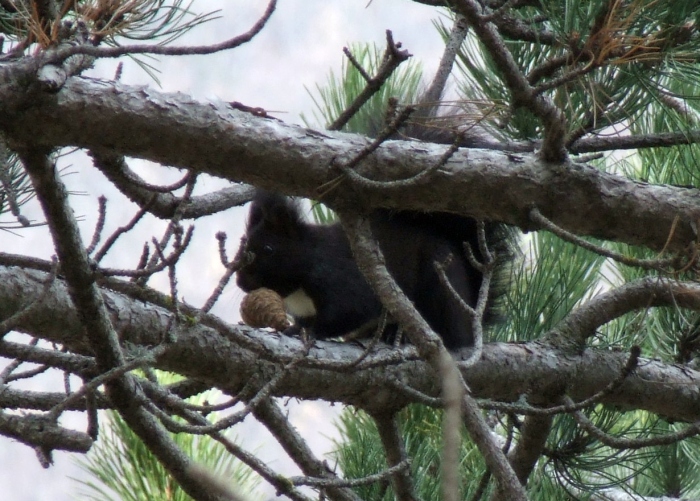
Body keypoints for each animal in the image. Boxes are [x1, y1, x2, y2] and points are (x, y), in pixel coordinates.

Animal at [235, 189, 508, 350]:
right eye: (241, 244)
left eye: (268, 249)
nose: (240, 283)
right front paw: (296, 328)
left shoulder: (339, 277)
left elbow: (350, 310)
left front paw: (310, 332)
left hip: (439, 286)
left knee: (452, 334)